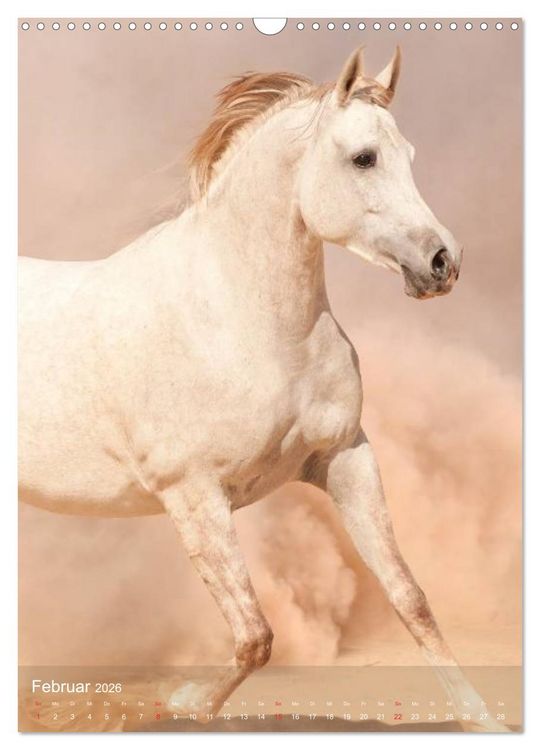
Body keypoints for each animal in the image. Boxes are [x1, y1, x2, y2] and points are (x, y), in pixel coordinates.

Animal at [18, 47, 505, 731]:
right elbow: (256, 635)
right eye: (363, 157)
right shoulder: (193, 496)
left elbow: (410, 597)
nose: (442, 263)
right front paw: (182, 703)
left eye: (408, 153)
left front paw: (483, 722)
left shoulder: (345, 458)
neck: (245, 321)